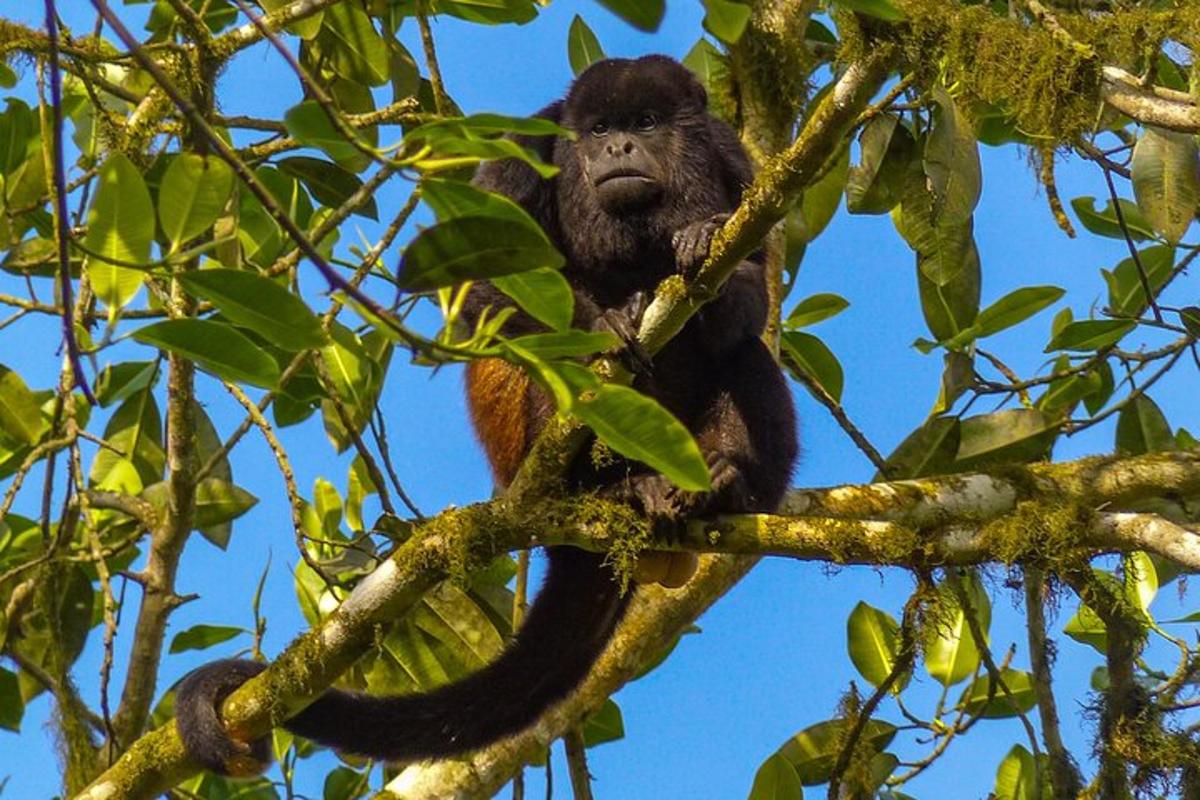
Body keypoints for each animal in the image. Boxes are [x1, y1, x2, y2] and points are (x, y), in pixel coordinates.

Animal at [174, 54, 796, 777]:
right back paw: (615, 485)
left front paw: (702, 252)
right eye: (600, 129)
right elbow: (481, 290)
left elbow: (755, 292)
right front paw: (606, 326)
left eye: (645, 123)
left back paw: (723, 483)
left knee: (750, 357)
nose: (617, 148)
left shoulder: (735, 160)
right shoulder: (522, 155)